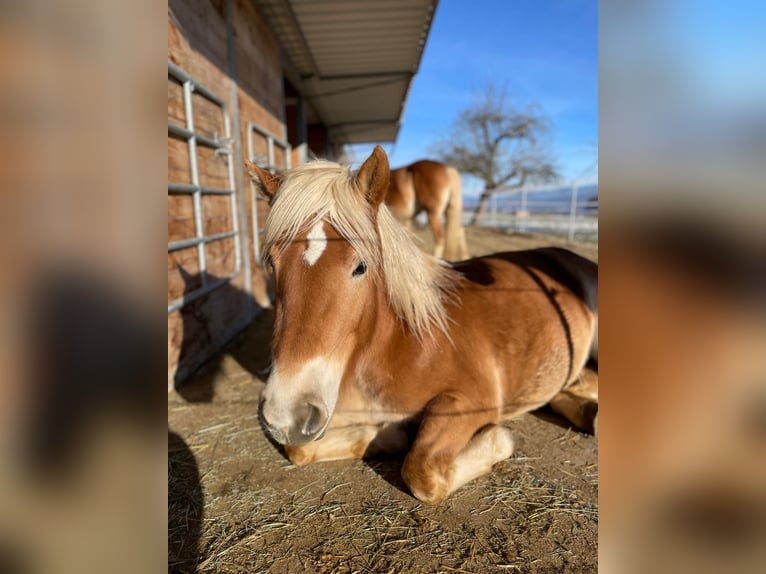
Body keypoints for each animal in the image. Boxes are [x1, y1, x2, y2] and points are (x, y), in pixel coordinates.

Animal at [246, 147, 600, 504]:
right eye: (272, 263)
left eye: (360, 266)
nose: (286, 414)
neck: (402, 343)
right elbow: (299, 450)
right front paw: (392, 432)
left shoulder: (470, 399)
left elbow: (422, 470)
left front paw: (502, 439)